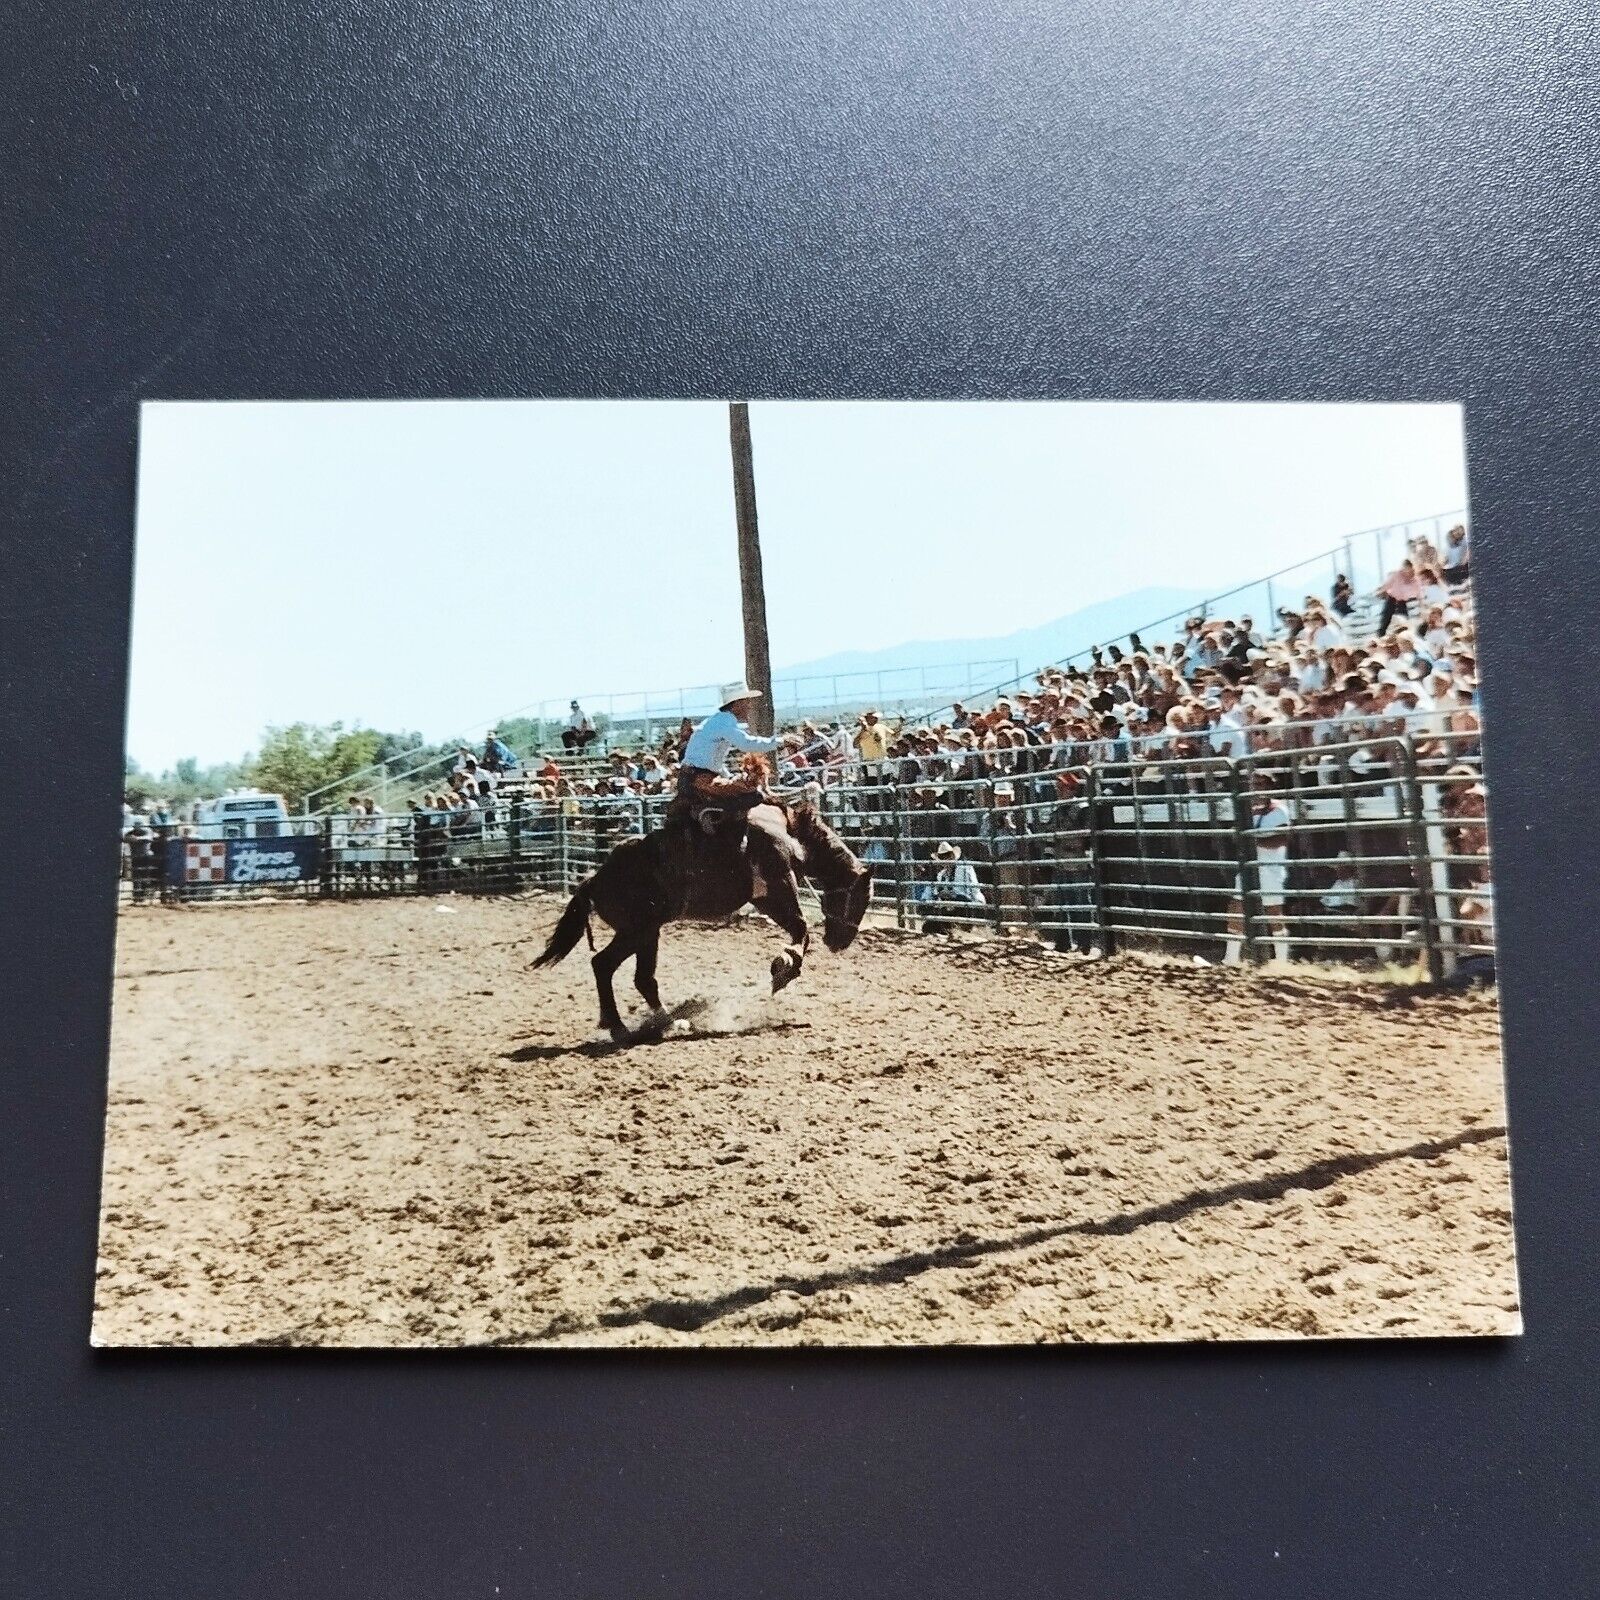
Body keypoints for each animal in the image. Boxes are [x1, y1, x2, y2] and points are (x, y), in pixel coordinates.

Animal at [531, 796, 870, 1036]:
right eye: (862, 899)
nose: (840, 942)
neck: (786, 832)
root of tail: (594, 880)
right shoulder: (776, 889)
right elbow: (802, 929)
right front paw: (784, 969)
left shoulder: (764, 899)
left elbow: (801, 930)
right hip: (638, 931)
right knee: (608, 966)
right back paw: (633, 1025)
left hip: (646, 933)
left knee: (634, 976)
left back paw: (656, 1023)